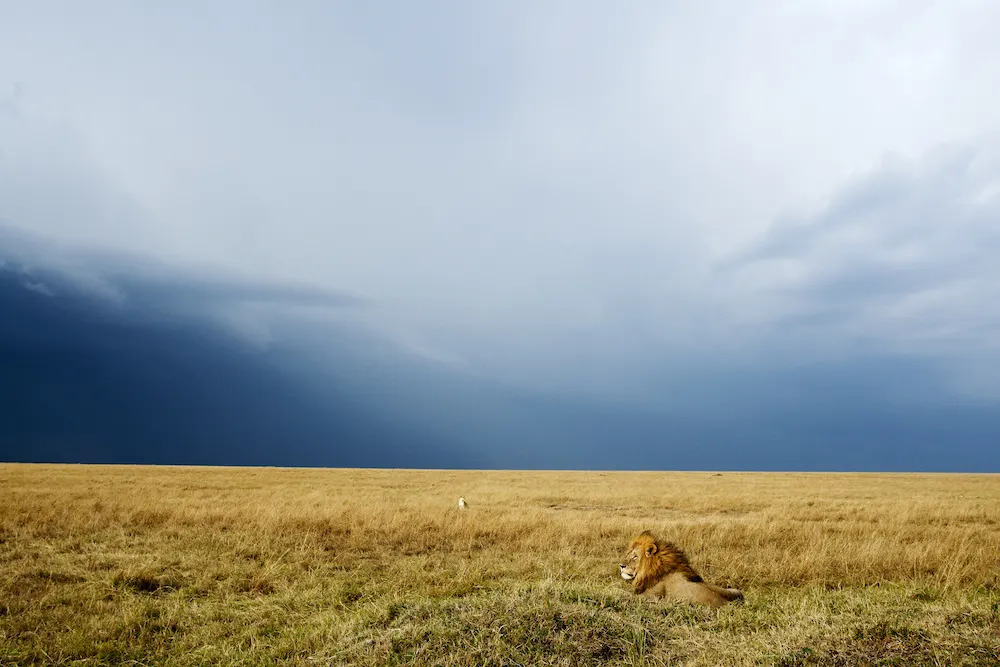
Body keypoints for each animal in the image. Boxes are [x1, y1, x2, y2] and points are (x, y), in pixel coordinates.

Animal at [616, 536, 744, 608]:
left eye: (635, 557)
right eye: (629, 554)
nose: (621, 565)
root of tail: (728, 603)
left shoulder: (651, 595)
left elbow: (626, 593)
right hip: (734, 590)